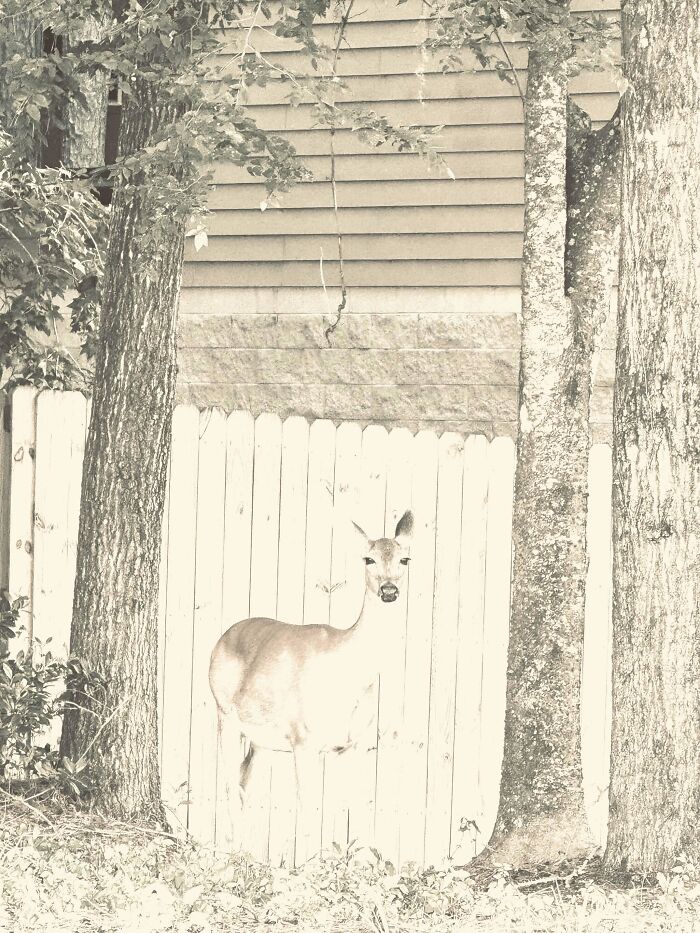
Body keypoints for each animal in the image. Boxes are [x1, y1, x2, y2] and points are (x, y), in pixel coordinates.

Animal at [208, 510, 413, 849]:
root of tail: (222, 638)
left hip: (262, 739)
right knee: (228, 781)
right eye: (368, 559)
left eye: (405, 559)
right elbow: (307, 810)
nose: (389, 591)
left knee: (245, 778)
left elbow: (341, 809)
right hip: (224, 712)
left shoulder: (348, 745)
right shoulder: (302, 737)